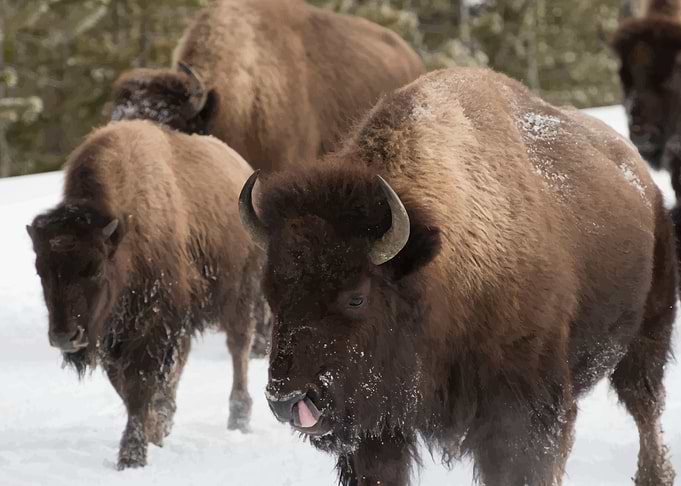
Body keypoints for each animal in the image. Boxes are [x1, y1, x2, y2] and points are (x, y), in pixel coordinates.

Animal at [27, 120, 263, 469]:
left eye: (94, 268)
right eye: (40, 270)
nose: (64, 337)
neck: (123, 233)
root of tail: (241, 167)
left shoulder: (153, 326)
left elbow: (140, 385)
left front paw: (132, 455)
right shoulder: (118, 337)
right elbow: (127, 387)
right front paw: (155, 430)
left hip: (239, 299)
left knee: (239, 349)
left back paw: (239, 418)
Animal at [239, 69, 677, 485]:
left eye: (356, 297)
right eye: (271, 294)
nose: (287, 400)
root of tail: (643, 182)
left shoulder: (522, 413)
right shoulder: (378, 425)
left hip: (647, 335)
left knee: (646, 406)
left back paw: (654, 475)